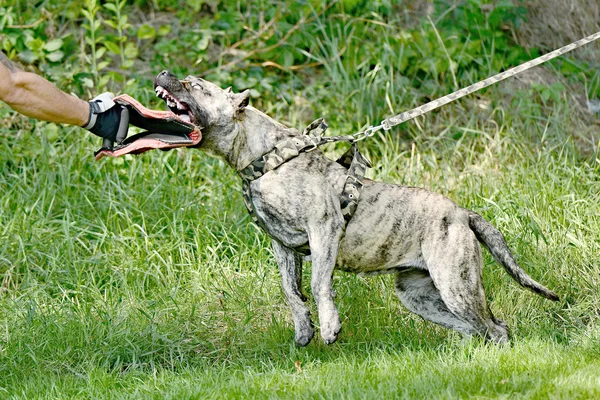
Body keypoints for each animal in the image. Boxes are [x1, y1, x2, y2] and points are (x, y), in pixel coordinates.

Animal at [152, 71, 556, 346]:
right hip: (419, 296)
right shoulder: (283, 247)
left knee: (494, 327)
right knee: (474, 328)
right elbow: (291, 291)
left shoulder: (324, 229)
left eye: (196, 86)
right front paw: (304, 329)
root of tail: (462, 214)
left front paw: (329, 326)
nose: (163, 73)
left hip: (457, 285)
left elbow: (318, 284)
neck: (266, 158)